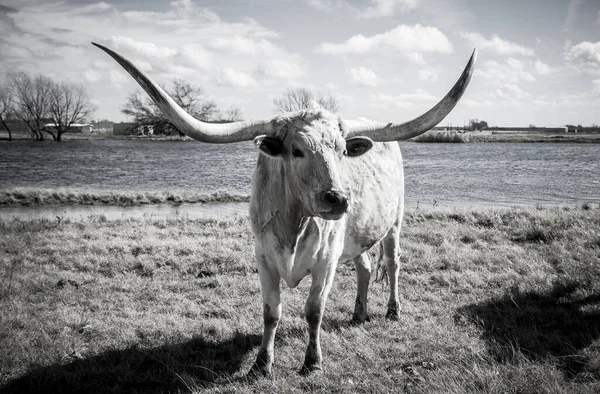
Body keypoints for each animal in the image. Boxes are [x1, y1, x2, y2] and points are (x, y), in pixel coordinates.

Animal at [94, 41, 476, 378]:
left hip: (394, 223)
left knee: (394, 263)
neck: (295, 223)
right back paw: (358, 314)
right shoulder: (264, 259)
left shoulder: (325, 262)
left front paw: (312, 363)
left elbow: (313, 311)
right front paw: (261, 364)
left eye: (341, 150)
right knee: (365, 268)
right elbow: (271, 313)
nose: (339, 199)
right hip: (357, 236)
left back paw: (393, 312)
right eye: (297, 151)